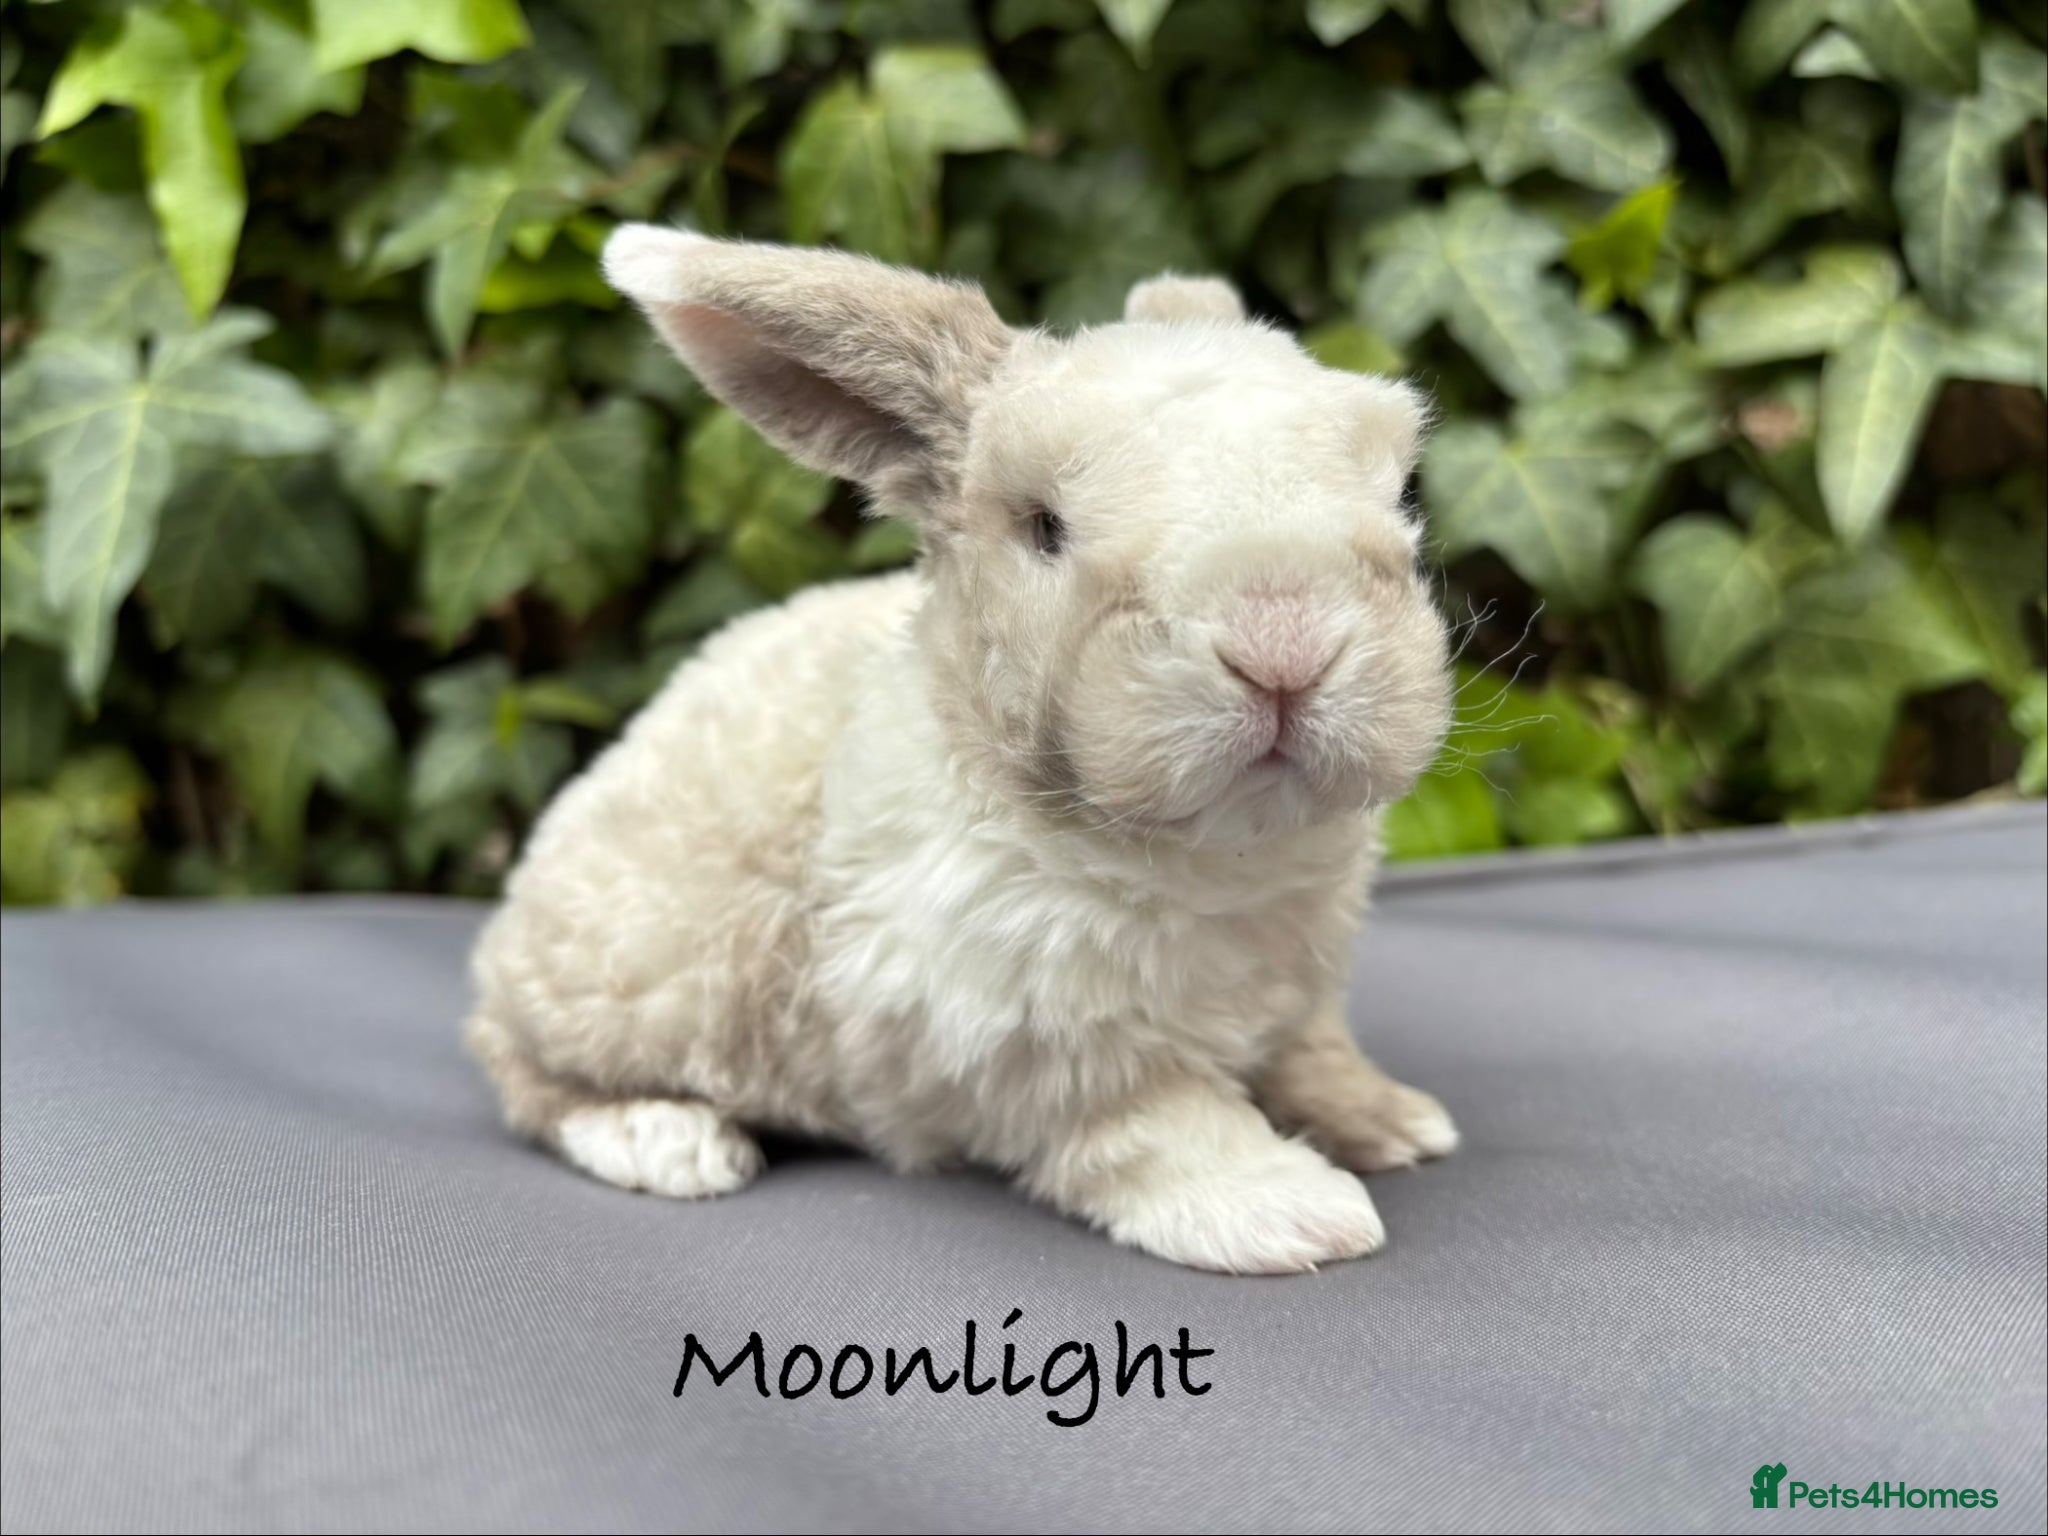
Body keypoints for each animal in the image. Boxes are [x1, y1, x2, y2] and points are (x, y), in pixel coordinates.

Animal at [462, 226, 1459, 1275]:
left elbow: (1313, 1054)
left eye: (1403, 487)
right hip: (650, 984)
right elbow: (1161, 1124)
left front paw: (1392, 1120)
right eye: (1046, 529)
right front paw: (1292, 1212)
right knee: (527, 1074)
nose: (1284, 649)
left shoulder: (1301, 995)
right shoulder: (1045, 1046)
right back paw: (668, 1142)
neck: (1224, 856)